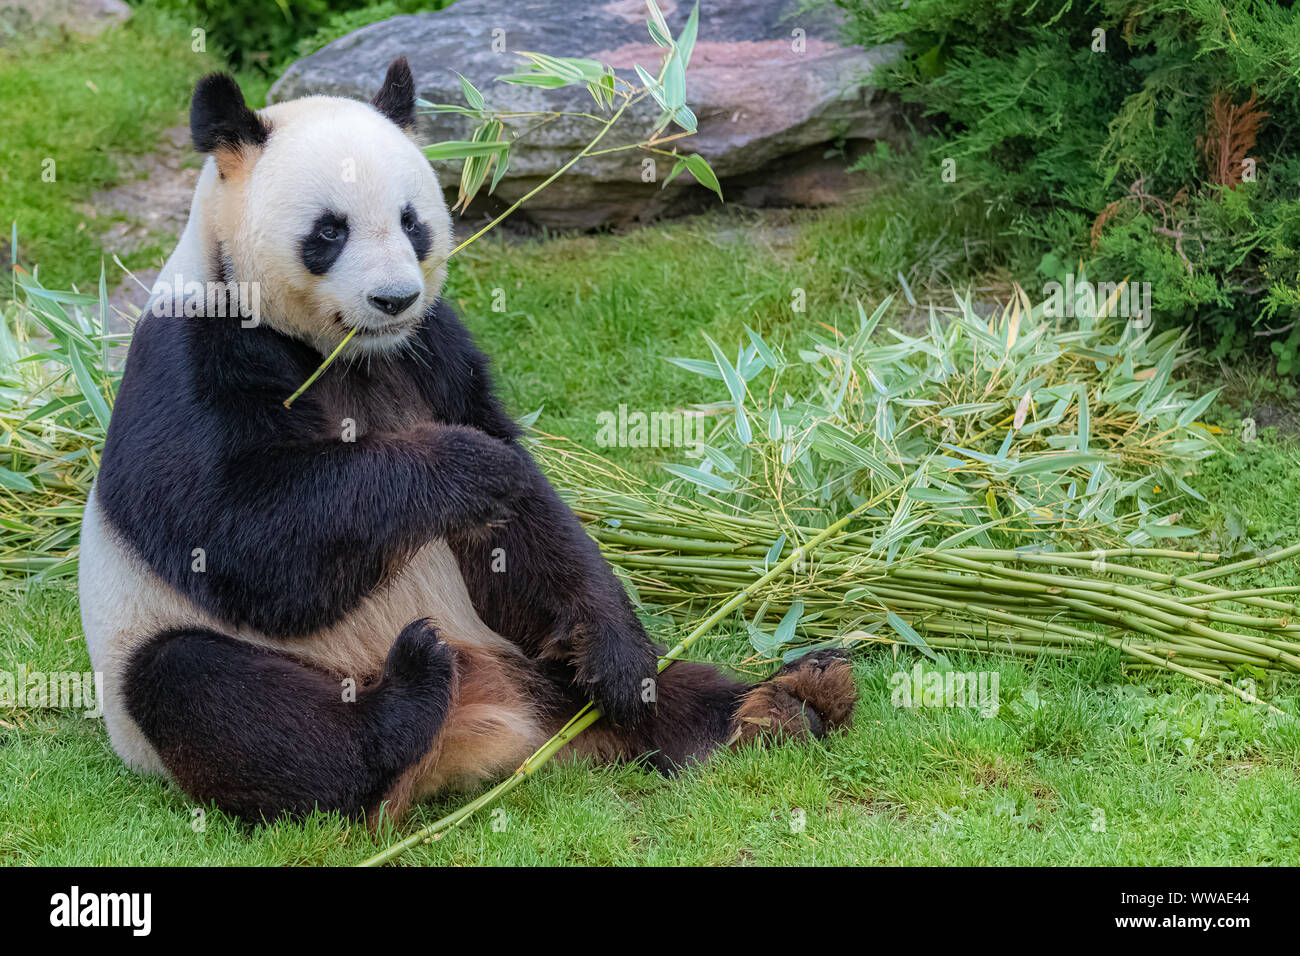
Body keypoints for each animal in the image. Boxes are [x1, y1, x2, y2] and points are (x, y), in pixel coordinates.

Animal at [78, 56, 859, 825]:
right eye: (329, 232)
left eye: (411, 222)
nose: (394, 299)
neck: (348, 354)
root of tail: (476, 730)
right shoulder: (193, 354)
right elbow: (239, 535)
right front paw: (467, 465)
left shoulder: (433, 349)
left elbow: (525, 528)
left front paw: (614, 654)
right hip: (169, 664)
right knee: (214, 697)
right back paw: (405, 698)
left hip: (523, 654)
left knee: (664, 688)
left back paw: (785, 702)